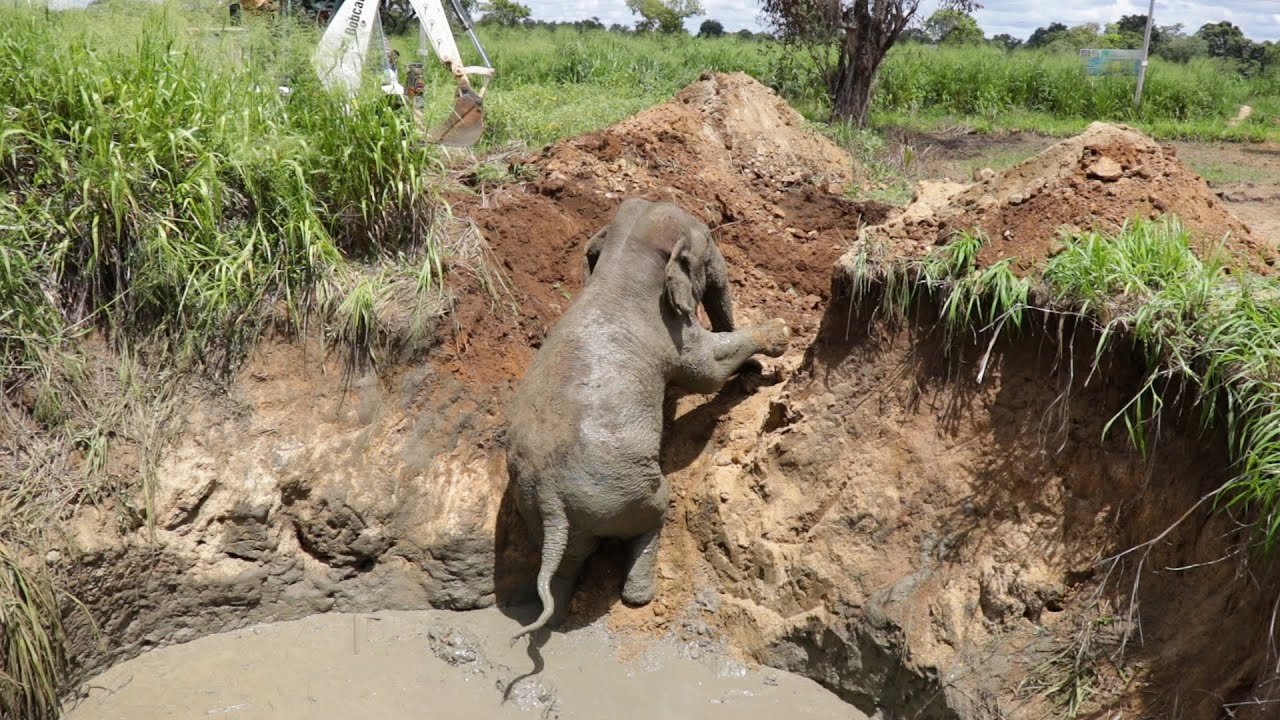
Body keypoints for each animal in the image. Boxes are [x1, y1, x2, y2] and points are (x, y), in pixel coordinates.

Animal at [506, 198, 791, 641]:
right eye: (708, 241)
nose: (756, 372)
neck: (620, 261)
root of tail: (551, 502)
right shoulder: (669, 334)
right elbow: (707, 369)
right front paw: (779, 332)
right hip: (624, 492)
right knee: (652, 515)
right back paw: (640, 596)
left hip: (542, 512)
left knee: (568, 562)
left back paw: (555, 614)